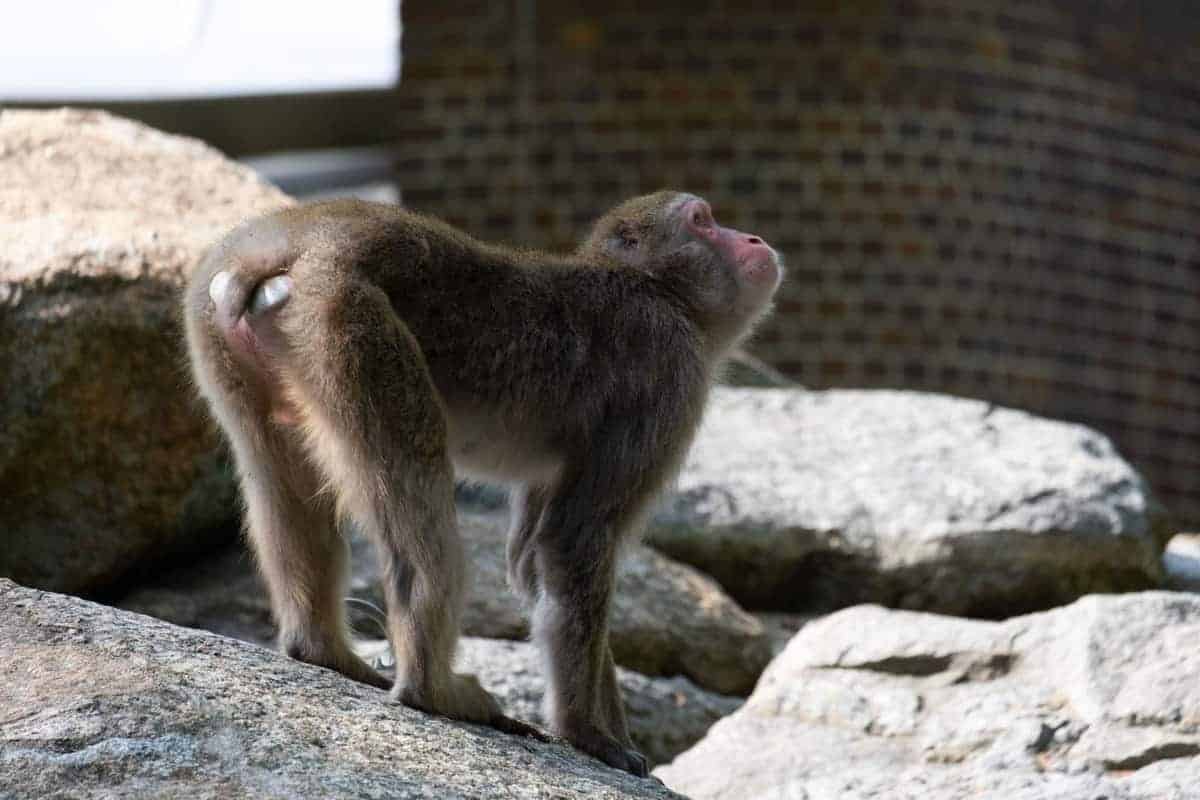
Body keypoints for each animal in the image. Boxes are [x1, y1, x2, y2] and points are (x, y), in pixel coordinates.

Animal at [183, 191, 783, 776]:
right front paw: (587, 734)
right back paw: (433, 690)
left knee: (282, 480)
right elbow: (574, 539)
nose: (754, 239)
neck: (663, 293)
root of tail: (285, 243)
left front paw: (615, 735)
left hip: (228, 340)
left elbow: (534, 561)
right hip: (348, 320)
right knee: (417, 477)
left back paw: (321, 650)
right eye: (703, 221)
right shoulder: (668, 376)